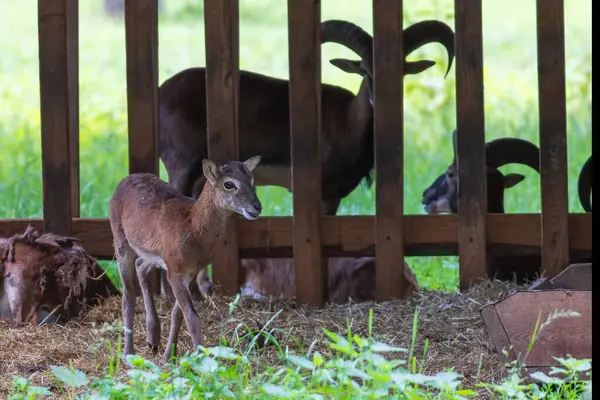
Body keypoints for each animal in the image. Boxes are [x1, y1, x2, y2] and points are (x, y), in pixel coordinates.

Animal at [110, 155, 260, 362]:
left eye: (252, 180)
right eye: (229, 184)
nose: (257, 207)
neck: (192, 227)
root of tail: (122, 182)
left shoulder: (190, 271)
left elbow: (177, 314)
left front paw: (168, 356)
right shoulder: (175, 271)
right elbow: (192, 317)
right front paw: (200, 359)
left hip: (154, 255)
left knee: (141, 266)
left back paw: (152, 339)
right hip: (121, 242)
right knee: (128, 293)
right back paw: (128, 353)